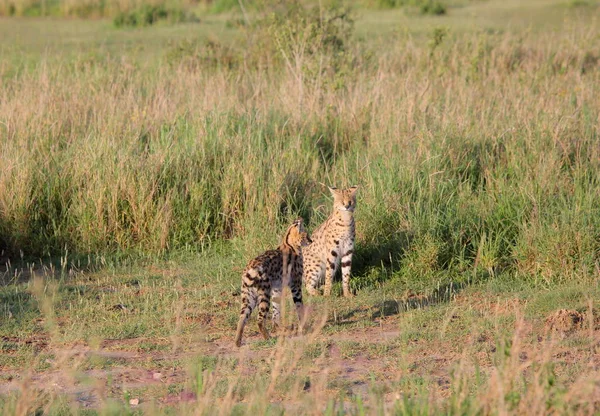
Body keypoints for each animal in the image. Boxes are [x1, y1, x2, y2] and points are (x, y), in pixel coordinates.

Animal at [234, 218, 312, 348]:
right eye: (306, 235)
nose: (311, 240)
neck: (289, 243)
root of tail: (249, 269)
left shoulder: (277, 289)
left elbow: (276, 311)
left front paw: (279, 329)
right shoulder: (296, 285)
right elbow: (299, 306)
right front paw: (303, 326)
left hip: (248, 297)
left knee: (242, 318)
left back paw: (237, 342)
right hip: (264, 295)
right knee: (260, 320)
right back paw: (268, 338)